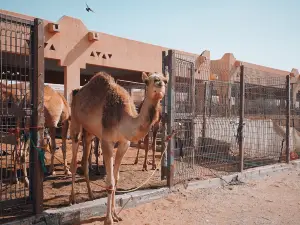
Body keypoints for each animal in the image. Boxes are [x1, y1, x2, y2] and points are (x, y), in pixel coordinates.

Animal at [69, 71, 169, 224]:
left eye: (165, 80)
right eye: (147, 81)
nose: (159, 84)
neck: (124, 118)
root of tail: (76, 92)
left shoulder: (124, 144)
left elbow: (116, 180)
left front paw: (116, 214)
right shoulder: (107, 142)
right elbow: (110, 182)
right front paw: (108, 219)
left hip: (89, 132)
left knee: (84, 161)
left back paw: (91, 194)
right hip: (75, 123)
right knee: (74, 161)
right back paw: (72, 199)